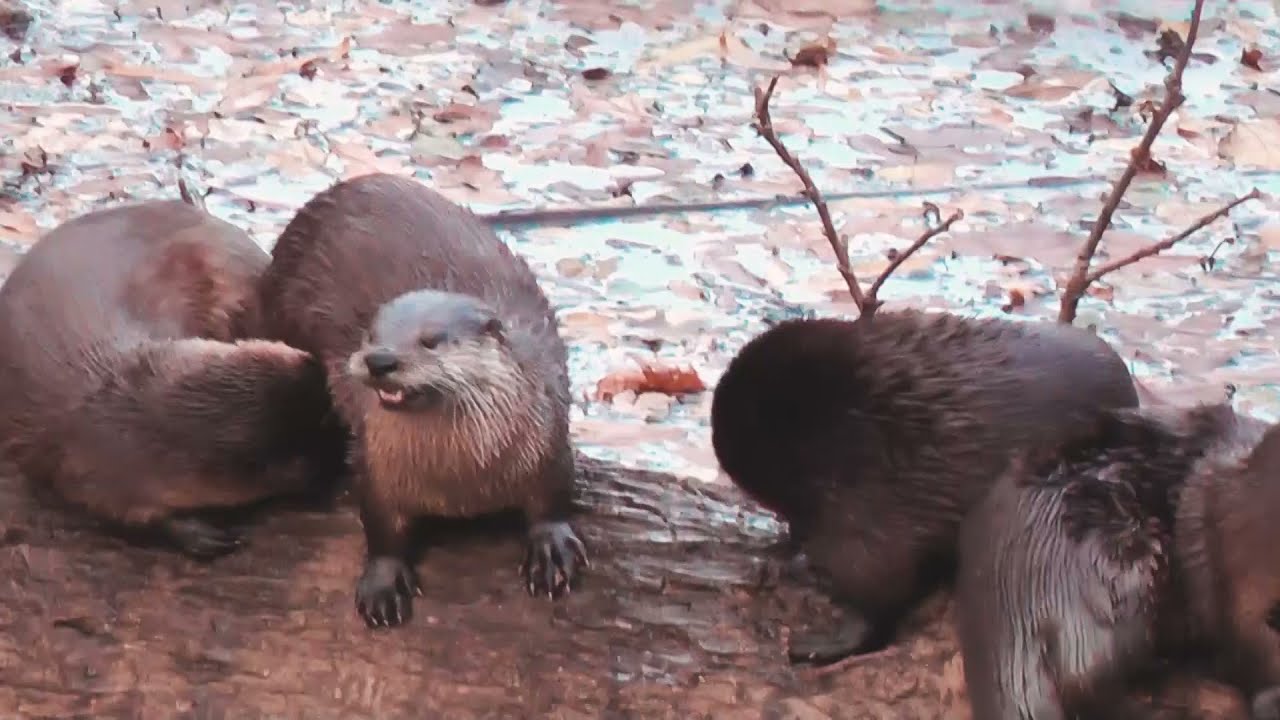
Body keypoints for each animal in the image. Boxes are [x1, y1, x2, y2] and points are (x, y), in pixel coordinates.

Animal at [255, 173, 587, 628]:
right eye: (370, 334)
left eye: (431, 340)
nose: (379, 359)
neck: (460, 478)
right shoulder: (378, 468)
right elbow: (381, 527)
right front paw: (383, 582)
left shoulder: (547, 437)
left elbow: (553, 497)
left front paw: (550, 546)